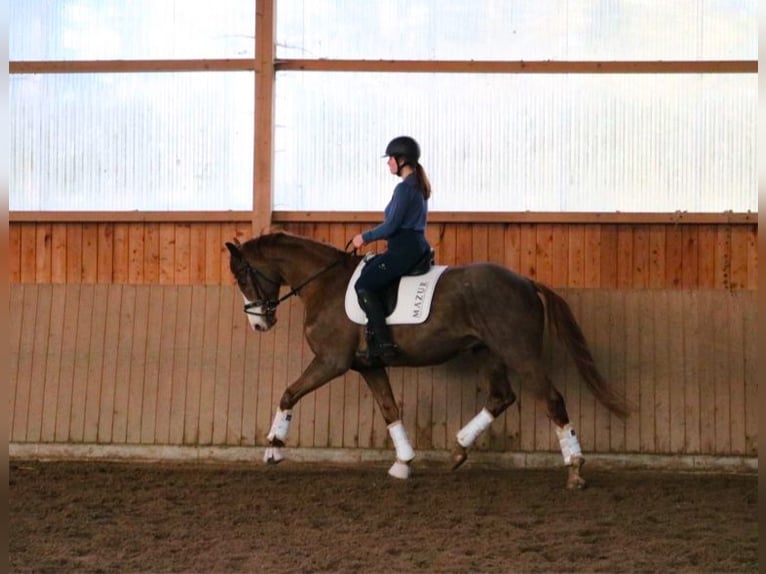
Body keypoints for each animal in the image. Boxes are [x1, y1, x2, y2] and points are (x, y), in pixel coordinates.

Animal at [226, 230, 632, 490]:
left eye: (242, 276)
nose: (259, 323)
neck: (325, 284)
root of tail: (526, 282)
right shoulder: (369, 365)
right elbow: (390, 410)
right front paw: (403, 463)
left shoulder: (332, 361)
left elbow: (288, 393)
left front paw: (273, 448)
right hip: (487, 351)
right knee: (501, 397)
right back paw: (458, 449)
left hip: (520, 353)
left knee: (551, 400)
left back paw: (574, 469)